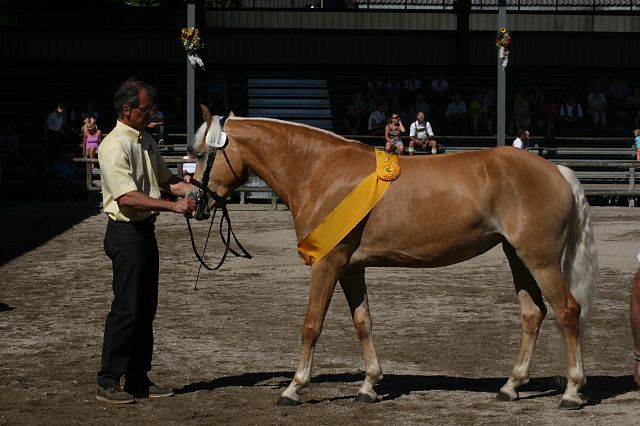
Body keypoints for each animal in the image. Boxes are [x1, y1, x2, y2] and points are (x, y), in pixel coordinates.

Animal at [188, 105, 596, 410]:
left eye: (202, 154)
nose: (194, 203)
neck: (319, 170)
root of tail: (557, 170)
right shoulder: (351, 268)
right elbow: (362, 322)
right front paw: (369, 385)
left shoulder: (326, 263)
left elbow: (311, 324)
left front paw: (293, 387)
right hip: (517, 257)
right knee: (533, 314)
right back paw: (511, 386)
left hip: (540, 260)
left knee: (567, 311)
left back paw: (572, 392)